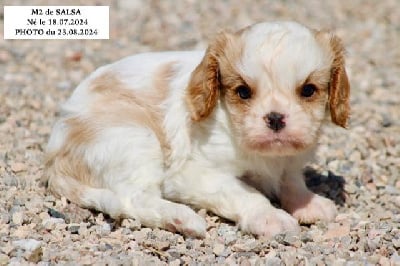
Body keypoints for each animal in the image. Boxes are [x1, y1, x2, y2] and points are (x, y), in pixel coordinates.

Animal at [44, 21, 350, 238]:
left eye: (308, 90)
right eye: (243, 92)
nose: (275, 118)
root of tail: (54, 158)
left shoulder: (290, 161)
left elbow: (291, 180)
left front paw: (307, 202)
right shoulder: (191, 174)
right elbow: (244, 191)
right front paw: (269, 217)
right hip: (132, 138)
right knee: (132, 198)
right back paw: (181, 219)